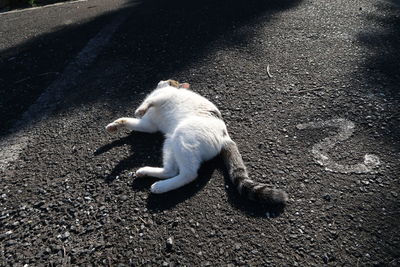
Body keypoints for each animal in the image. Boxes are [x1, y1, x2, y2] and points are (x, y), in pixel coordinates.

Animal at [106, 80, 288, 206]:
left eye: (172, 81)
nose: (165, 80)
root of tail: (224, 136)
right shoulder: (148, 126)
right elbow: (130, 121)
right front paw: (114, 125)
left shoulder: (164, 96)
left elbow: (149, 102)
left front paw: (140, 109)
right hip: (171, 142)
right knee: (171, 170)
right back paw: (147, 174)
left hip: (183, 136)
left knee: (189, 174)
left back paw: (160, 187)